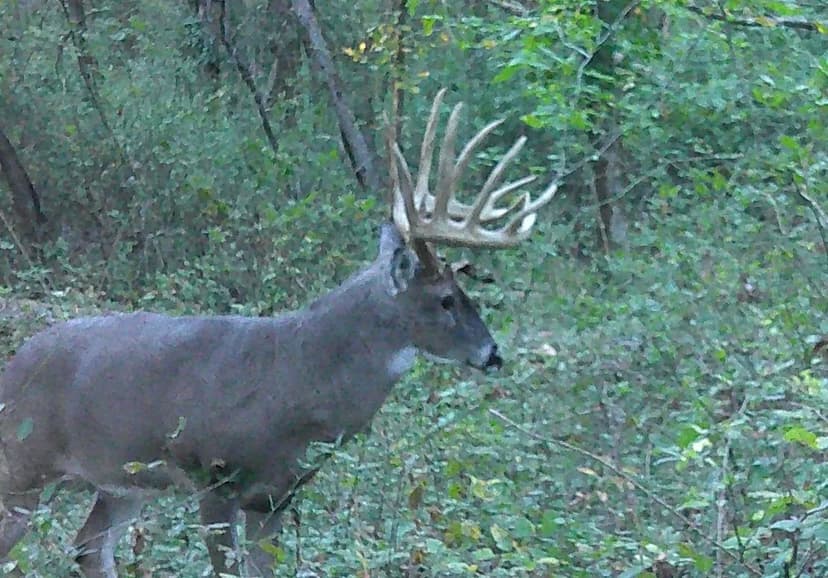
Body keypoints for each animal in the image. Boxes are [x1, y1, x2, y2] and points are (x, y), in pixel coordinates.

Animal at [0, 89, 556, 578]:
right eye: (445, 299)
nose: (492, 352)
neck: (297, 377)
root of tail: (12, 366)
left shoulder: (275, 495)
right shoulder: (213, 475)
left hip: (120, 483)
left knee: (88, 549)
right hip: (21, 465)